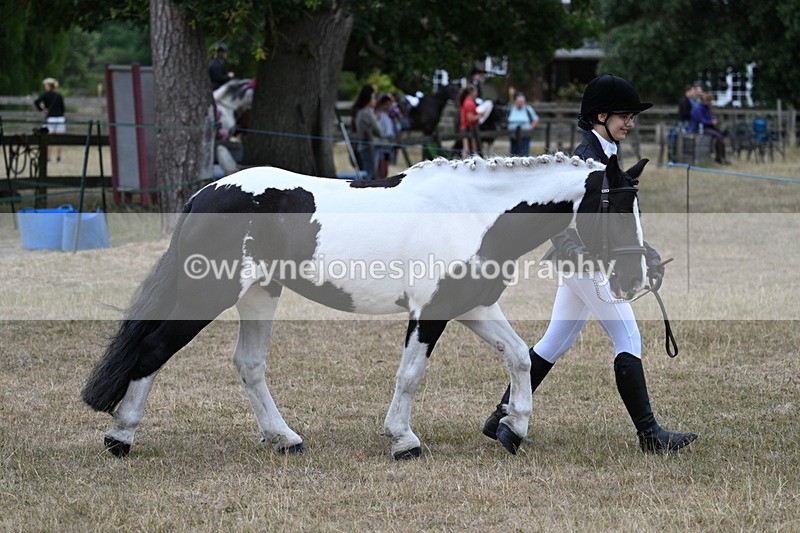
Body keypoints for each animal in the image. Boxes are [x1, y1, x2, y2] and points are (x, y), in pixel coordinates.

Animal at [81, 152, 649, 460]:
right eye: (617, 208)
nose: (635, 279)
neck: (472, 212)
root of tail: (205, 195)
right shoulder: (431, 312)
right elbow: (411, 375)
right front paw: (403, 441)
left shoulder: (472, 306)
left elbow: (518, 357)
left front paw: (514, 429)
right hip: (209, 295)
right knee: (154, 350)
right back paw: (120, 437)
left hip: (260, 294)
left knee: (248, 364)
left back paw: (284, 438)